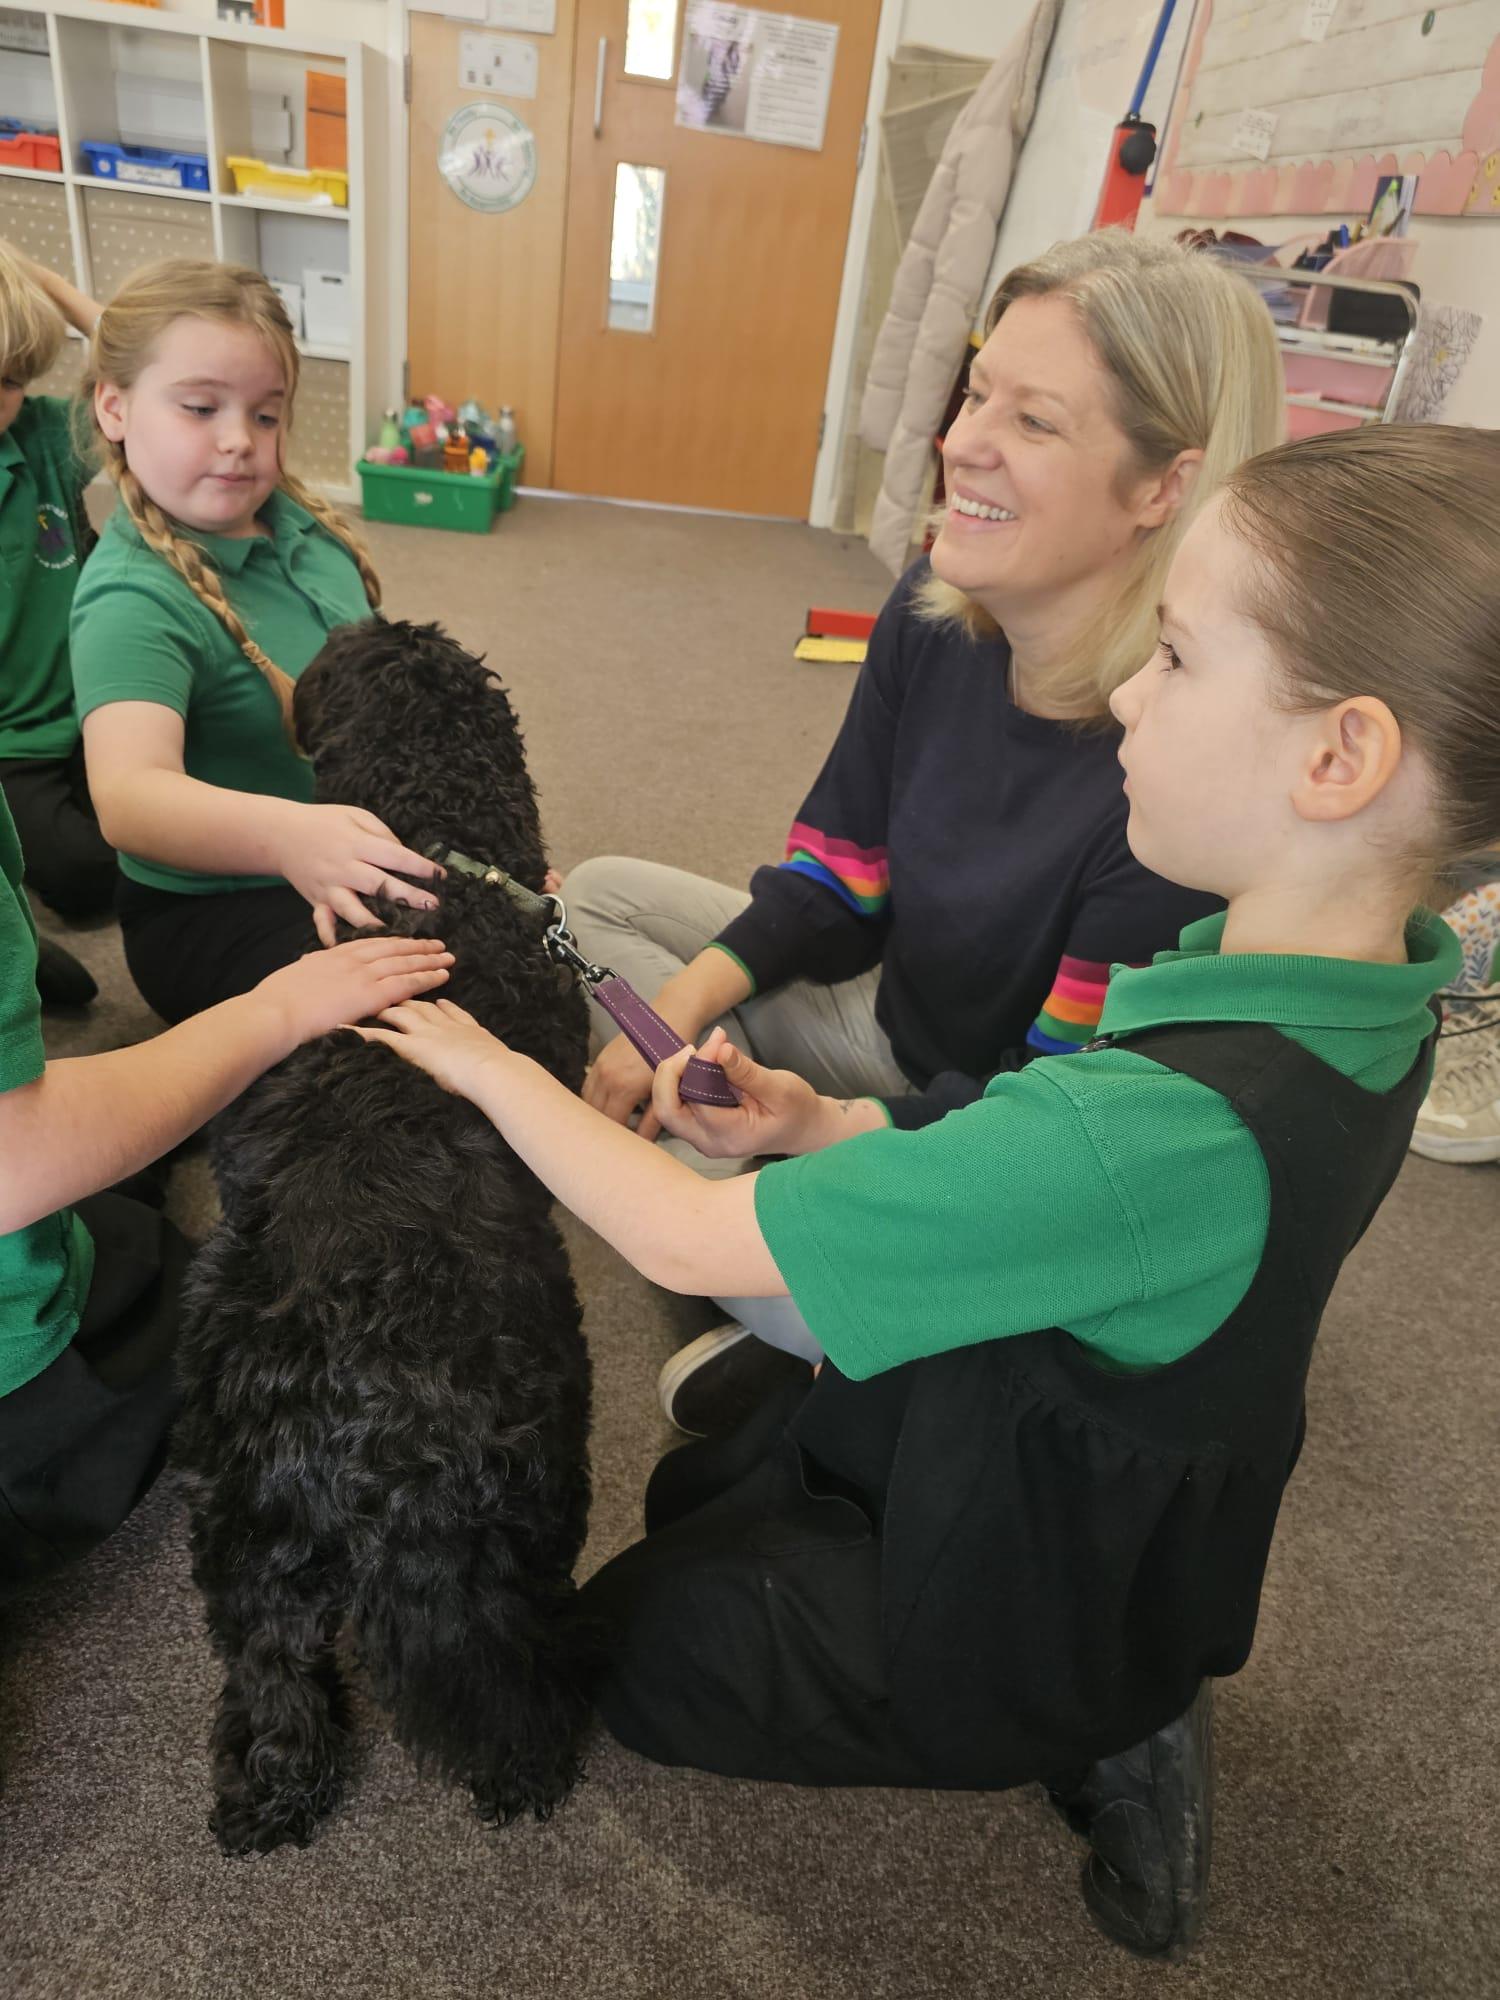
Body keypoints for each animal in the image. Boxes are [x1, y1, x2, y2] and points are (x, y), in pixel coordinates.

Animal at [174, 619, 594, 1856]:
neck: (436, 856)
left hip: (239, 1515)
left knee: (271, 1677)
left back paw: (265, 1791)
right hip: (523, 1503)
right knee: (505, 1672)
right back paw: (531, 1764)